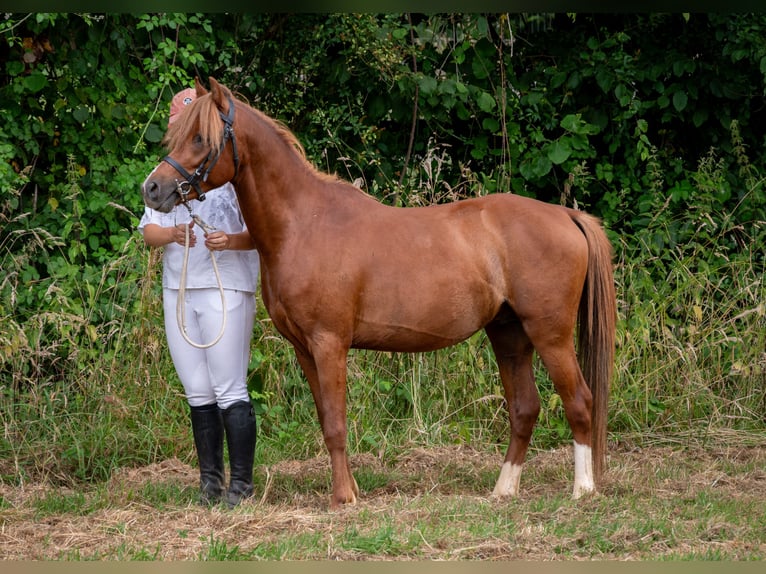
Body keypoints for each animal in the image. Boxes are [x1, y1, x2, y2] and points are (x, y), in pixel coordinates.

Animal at [142, 77, 617, 509]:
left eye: (200, 137)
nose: (153, 188)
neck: (304, 223)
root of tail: (566, 215)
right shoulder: (304, 348)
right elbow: (326, 419)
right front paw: (350, 489)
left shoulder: (330, 343)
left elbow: (336, 423)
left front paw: (342, 499)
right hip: (509, 334)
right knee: (525, 408)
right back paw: (504, 490)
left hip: (550, 335)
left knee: (579, 400)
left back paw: (583, 490)